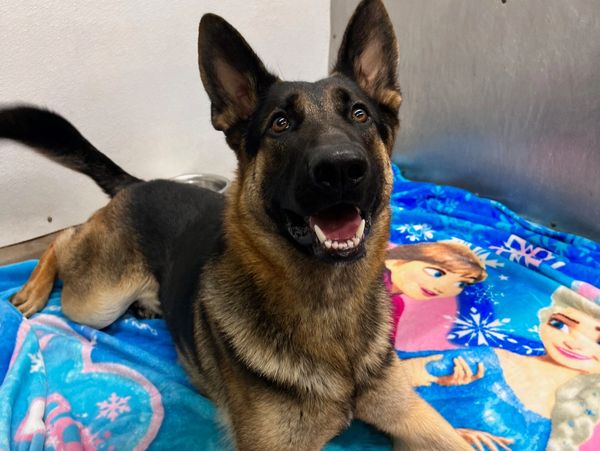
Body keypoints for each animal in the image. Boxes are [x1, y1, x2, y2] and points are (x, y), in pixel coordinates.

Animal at [0, 1, 468, 450]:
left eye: (359, 115)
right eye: (280, 123)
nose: (340, 168)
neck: (331, 304)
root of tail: (141, 183)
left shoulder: (411, 414)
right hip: (98, 300)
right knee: (64, 238)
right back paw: (32, 290)